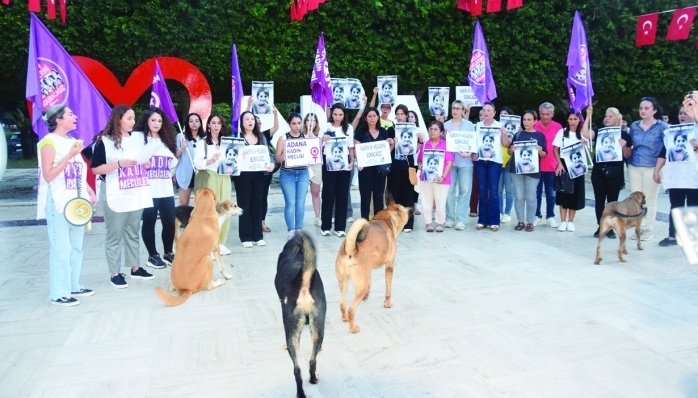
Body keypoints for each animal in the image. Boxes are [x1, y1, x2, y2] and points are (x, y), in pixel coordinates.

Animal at [334, 202, 408, 332]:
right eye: (404, 208)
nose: (411, 208)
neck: (384, 220)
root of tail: (351, 249)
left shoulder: (368, 270)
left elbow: (370, 281)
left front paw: (367, 295)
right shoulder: (389, 267)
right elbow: (388, 288)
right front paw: (387, 303)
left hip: (344, 282)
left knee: (343, 304)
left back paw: (345, 318)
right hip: (359, 286)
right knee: (351, 309)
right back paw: (353, 327)